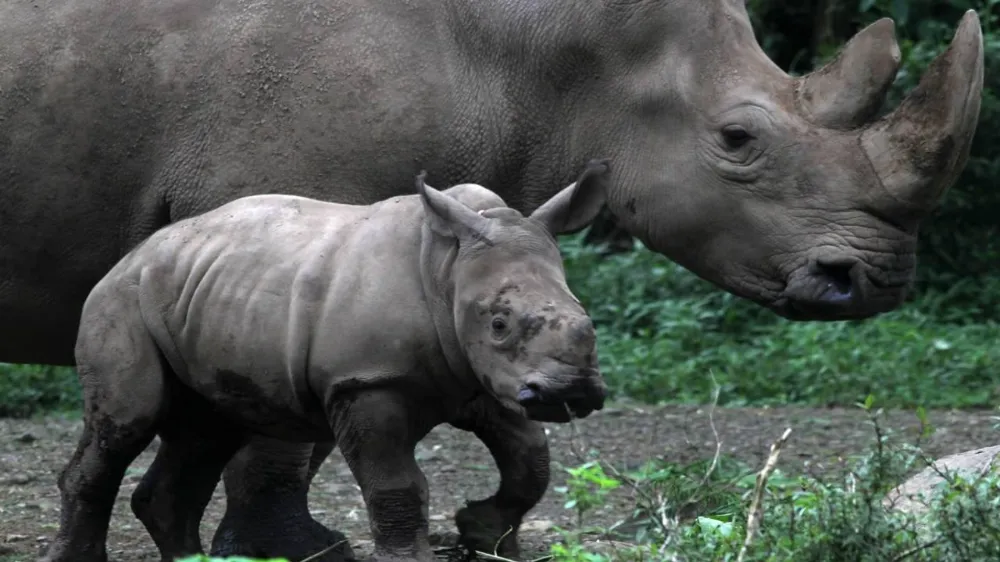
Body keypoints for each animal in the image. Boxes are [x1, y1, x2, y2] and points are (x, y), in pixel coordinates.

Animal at [45, 162, 608, 560]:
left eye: (587, 317)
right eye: (499, 323)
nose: (572, 391)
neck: (447, 267)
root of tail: (130, 256)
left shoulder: (484, 379)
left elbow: (531, 458)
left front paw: (482, 533)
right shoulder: (366, 382)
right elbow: (397, 485)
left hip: (198, 298)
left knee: (207, 431)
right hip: (121, 300)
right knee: (125, 424)